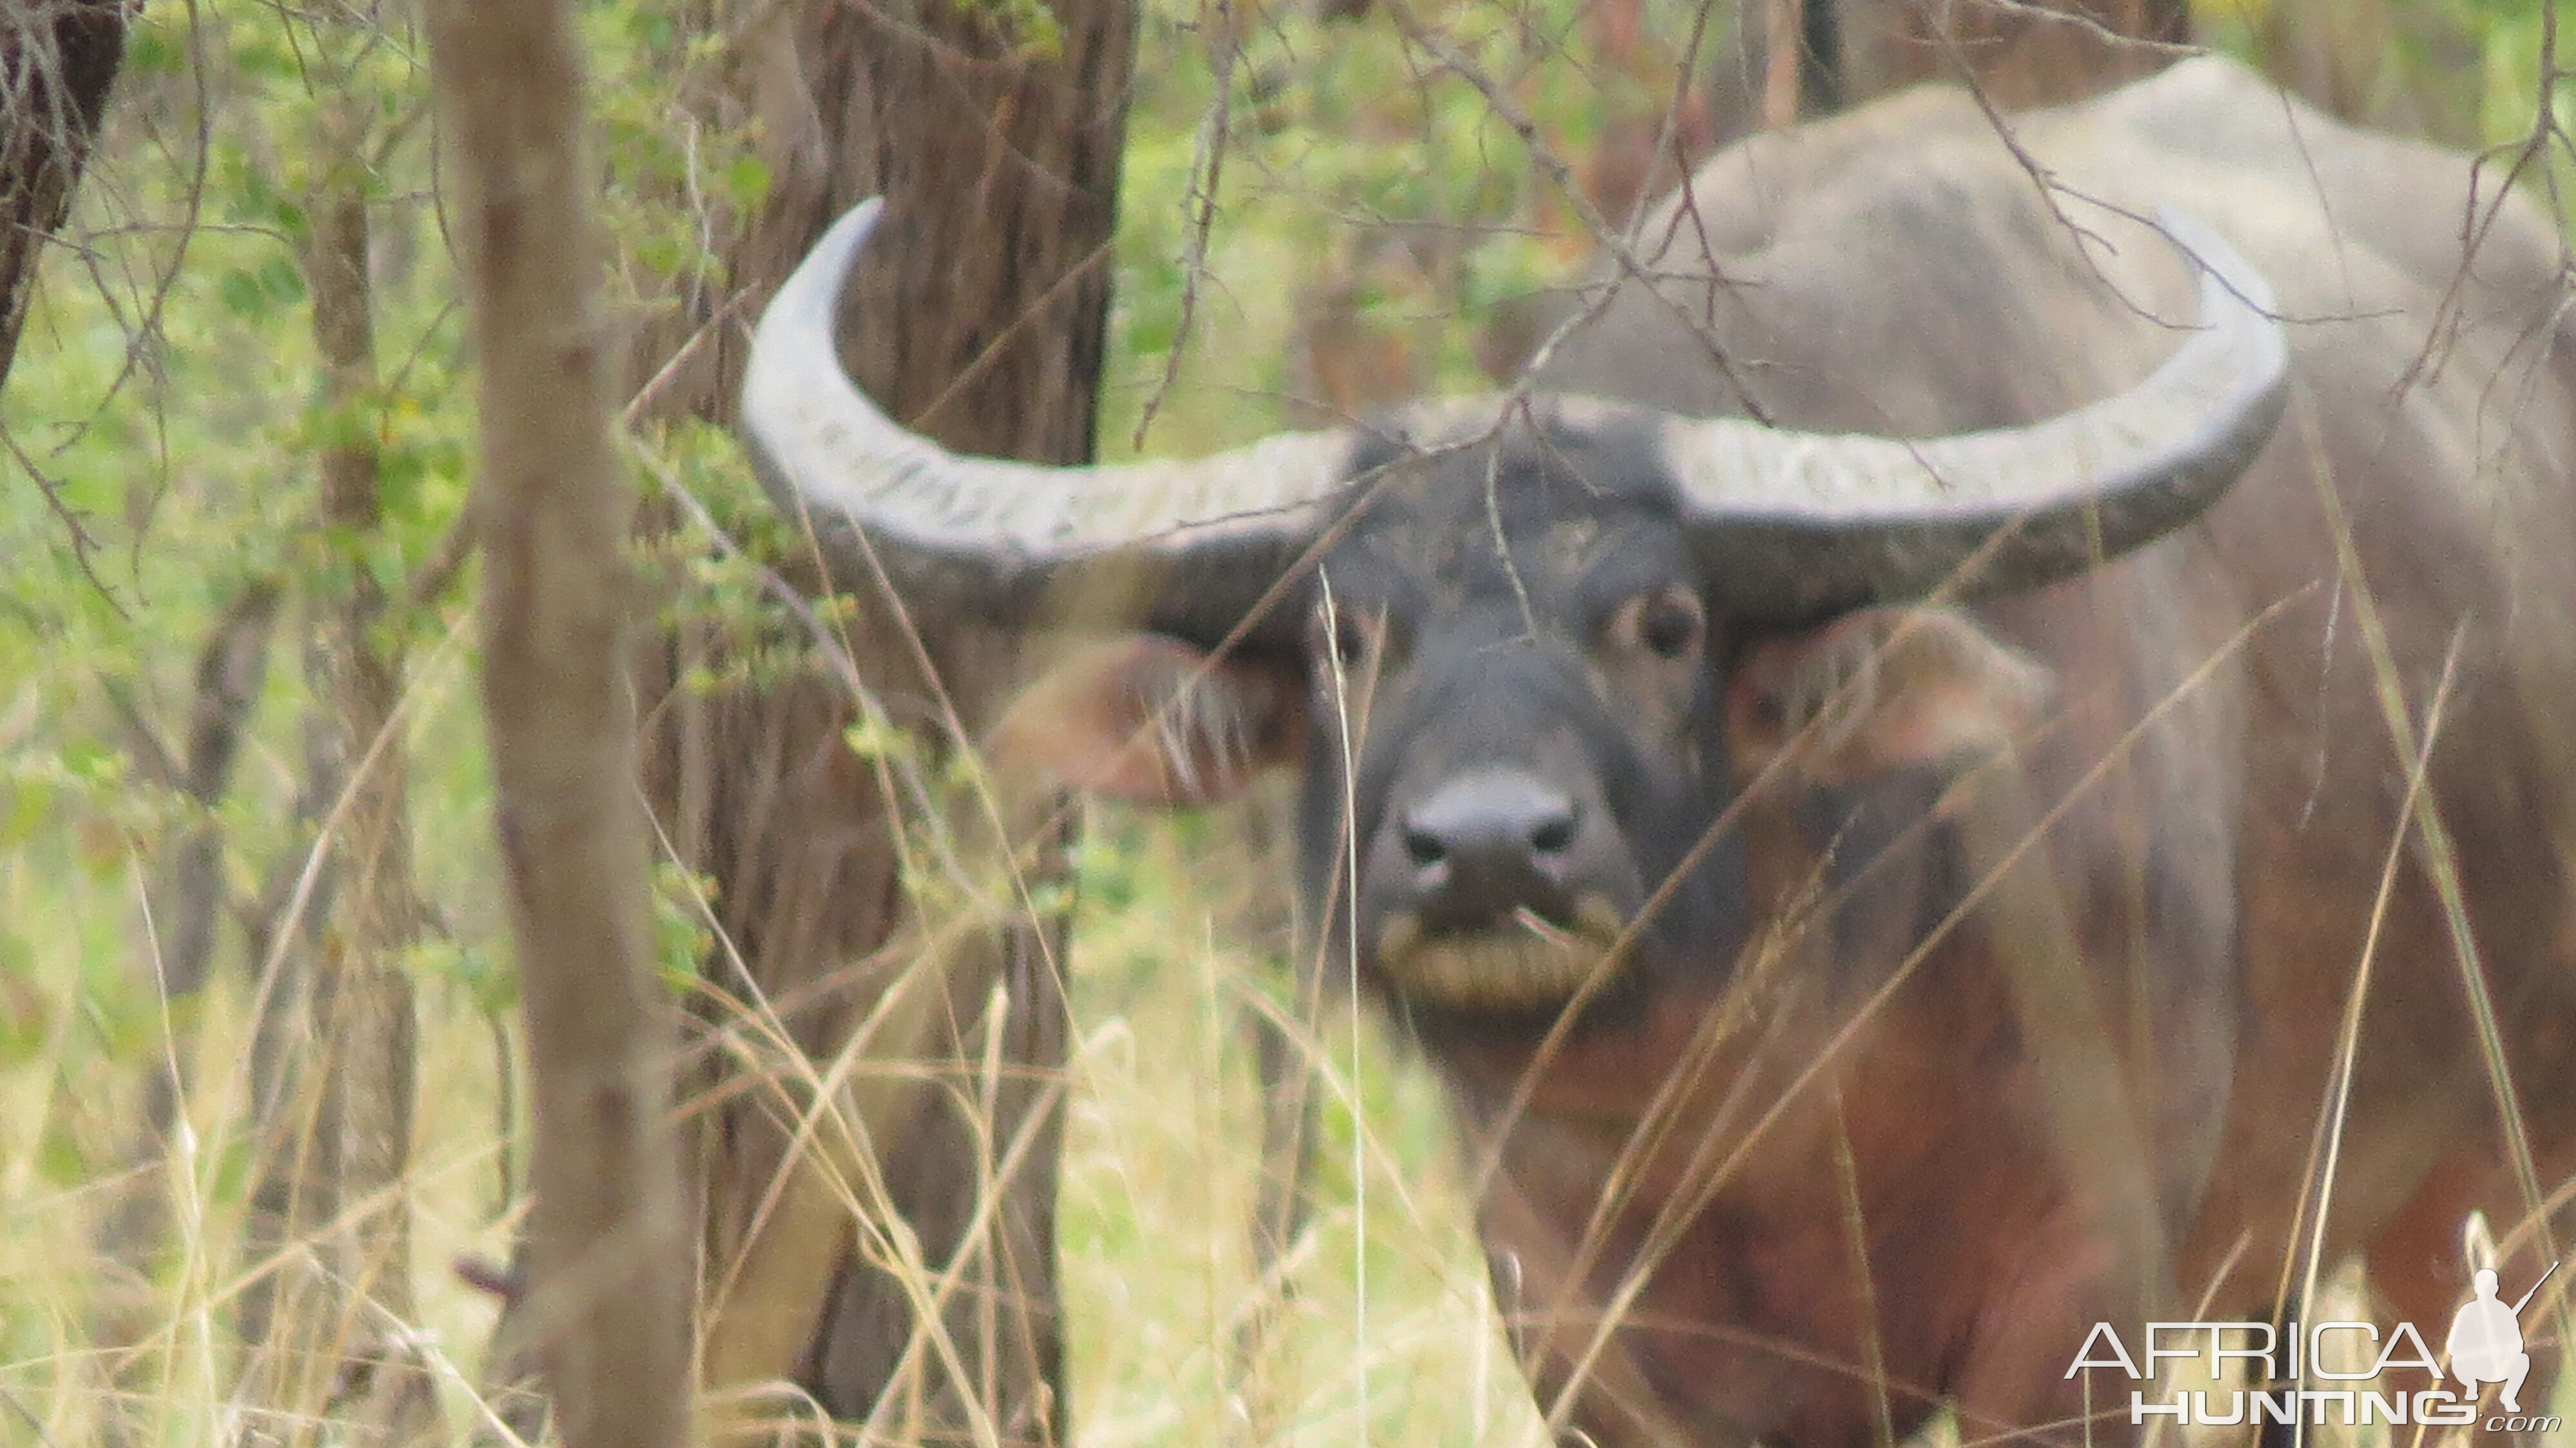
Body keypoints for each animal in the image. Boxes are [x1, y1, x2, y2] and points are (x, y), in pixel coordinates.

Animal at [737, 56, 2576, 1443]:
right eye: (1341, 639)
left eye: (1668, 623)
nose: (1486, 851)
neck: (1770, 1107)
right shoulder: (1581, 1329)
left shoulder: (2075, 1292)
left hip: (2494, 1206)